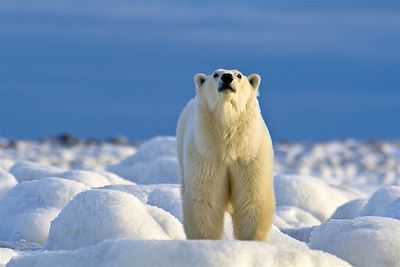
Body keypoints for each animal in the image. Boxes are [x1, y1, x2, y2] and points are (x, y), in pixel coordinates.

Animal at [177, 68, 276, 241]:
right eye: (216, 74)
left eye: (239, 75)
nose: (227, 77)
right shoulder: (207, 155)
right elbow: (205, 200)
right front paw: (205, 241)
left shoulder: (249, 155)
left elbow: (252, 199)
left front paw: (251, 240)